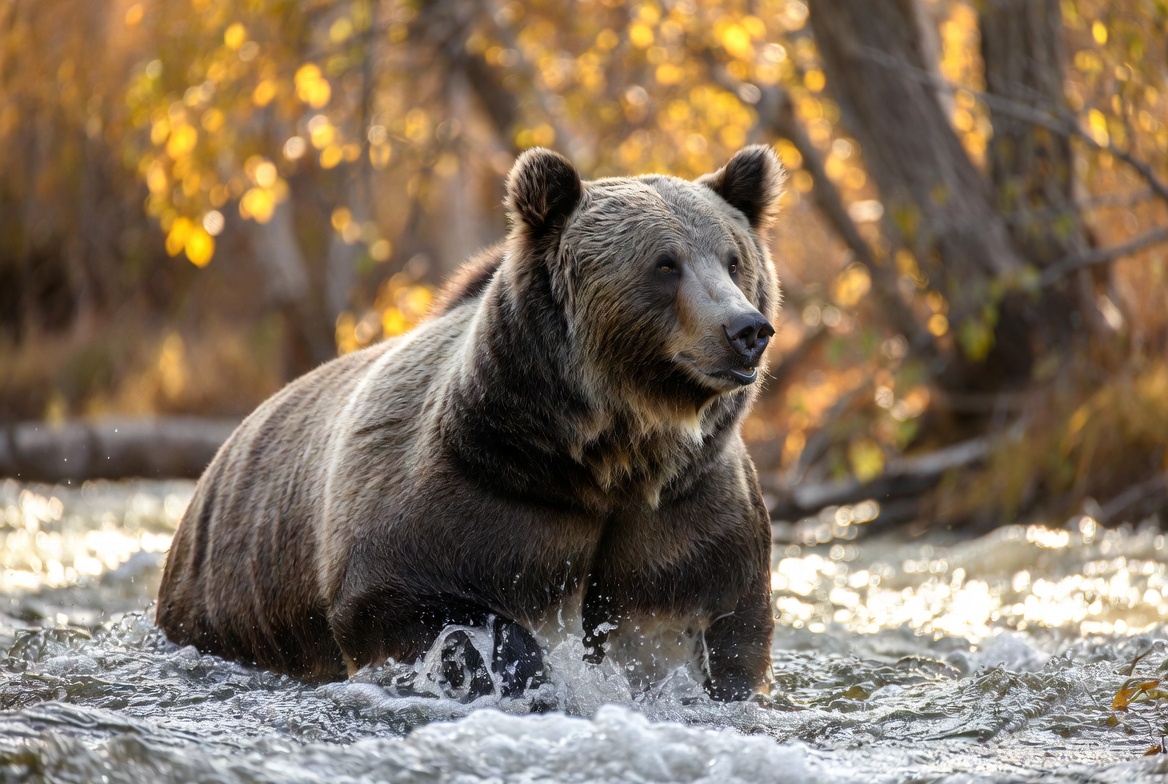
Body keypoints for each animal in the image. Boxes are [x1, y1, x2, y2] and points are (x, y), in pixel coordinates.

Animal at [156, 145, 785, 702]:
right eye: (665, 264)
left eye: (734, 260)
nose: (746, 329)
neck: (603, 460)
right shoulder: (468, 500)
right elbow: (411, 605)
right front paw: (521, 674)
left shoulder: (689, 520)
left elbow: (730, 637)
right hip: (224, 595)